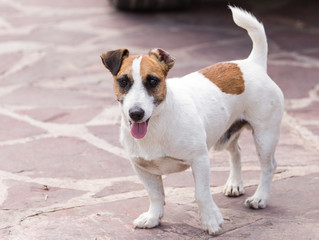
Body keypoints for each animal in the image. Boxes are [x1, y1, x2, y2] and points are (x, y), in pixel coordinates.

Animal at [100, 6, 284, 235]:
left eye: (152, 81)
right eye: (123, 82)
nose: (136, 113)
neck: (157, 124)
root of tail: (252, 64)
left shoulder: (200, 160)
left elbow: (201, 194)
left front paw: (211, 221)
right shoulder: (142, 168)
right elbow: (155, 195)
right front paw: (153, 217)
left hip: (265, 137)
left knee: (269, 166)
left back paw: (259, 197)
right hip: (227, 134)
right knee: (237, 152)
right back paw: (235, 184)